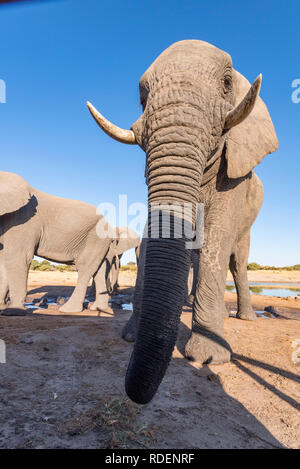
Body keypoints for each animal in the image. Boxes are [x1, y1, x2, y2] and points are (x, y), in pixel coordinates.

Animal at [0, 170, 139, 312]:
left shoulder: (23, 219)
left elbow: (17, 257)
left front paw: (13, 311)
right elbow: (3, 260)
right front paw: (2, 307)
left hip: (94, 238)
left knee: (85, 267)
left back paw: (69, 309)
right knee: (99, 269)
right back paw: (98, 308)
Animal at [86, 39, 276, 402]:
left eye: (227, 83)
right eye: (142, 98)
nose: (134, 392)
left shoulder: (235, 176)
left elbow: (217, 238)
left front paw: (209, 357)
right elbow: (151, 242)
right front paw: (130, 337)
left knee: (236, 259)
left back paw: (244, 319)